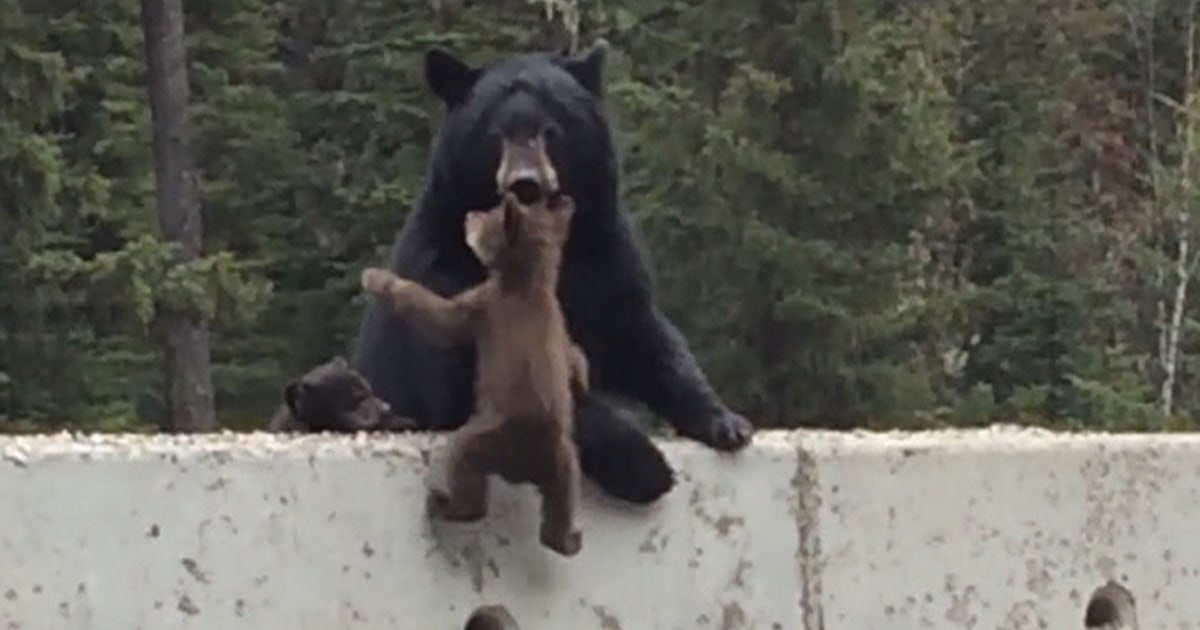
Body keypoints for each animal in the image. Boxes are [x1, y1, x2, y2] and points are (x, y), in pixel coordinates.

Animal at [348, 42, 754, 506]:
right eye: (496, 134)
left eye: (551, 129)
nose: (525, 183)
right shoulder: (447, 274)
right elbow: (479, 380)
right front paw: (646, 467)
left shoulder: (603, 262)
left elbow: (647, 339)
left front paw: (726, 422)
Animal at [361, 190, 586, 556]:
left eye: (487, 215)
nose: (468, 215)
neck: (528, 280)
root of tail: (524, 469)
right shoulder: (557, 320)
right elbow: (572, 354)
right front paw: (583, 379)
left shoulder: (486, 305)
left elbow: (441, 318)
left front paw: (378, 278)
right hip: (564, 462)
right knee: (560, 505)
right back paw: (569, 539)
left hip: (487, 440)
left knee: (465, 468)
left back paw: (444, 504)